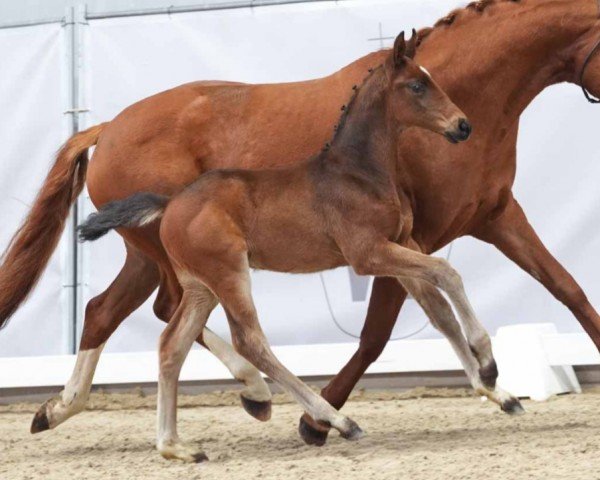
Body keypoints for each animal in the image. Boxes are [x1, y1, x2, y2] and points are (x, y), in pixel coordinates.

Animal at [77, 33, 508, 462]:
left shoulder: (401, 242)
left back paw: (175, 447)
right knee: (250, 342)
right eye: (417, 85)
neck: (358, 173)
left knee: (172, 345)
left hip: (201, 287)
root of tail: (170, 203)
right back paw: (337, 420)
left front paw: (496, 391)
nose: (463, 125)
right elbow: (447, 273)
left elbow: (439, 309)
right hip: (229, 273)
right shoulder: (368, 254)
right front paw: (487, 364)